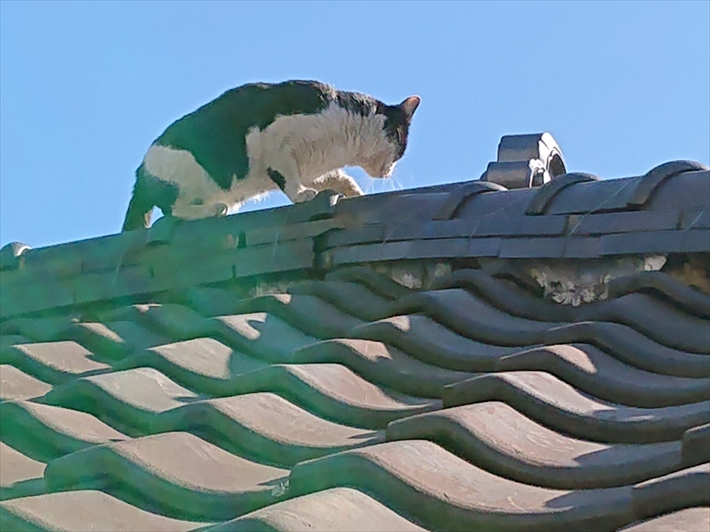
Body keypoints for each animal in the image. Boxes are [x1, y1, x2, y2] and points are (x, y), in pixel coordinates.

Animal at [122, 79, 422, 231]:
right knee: (171, 210)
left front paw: (353, 193)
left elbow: (338, 178)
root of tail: (140, 173)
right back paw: (211, 210)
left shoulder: (313, 166)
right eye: (402, 148)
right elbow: (288, 178)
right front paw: (301, 195)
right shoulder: (273, 142)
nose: (389, 172)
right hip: (188, 170)